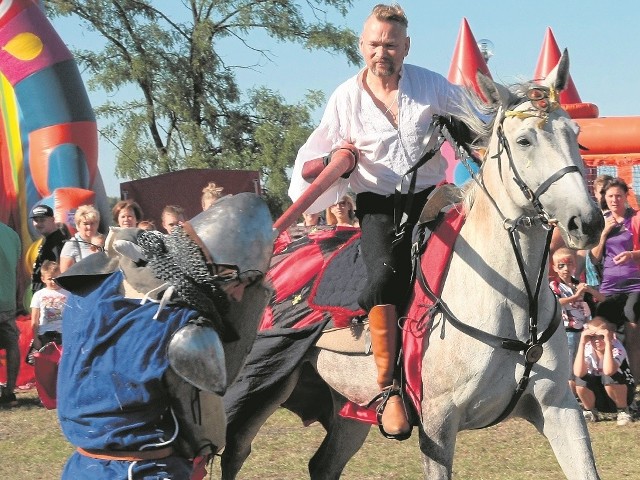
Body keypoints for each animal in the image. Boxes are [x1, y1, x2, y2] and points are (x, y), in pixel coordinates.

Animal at [221, 50, 604, 478]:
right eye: (524, 140)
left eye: (575, 133)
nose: (587, 222)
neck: (511, 297)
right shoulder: (438, 423)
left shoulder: (559, 409)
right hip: (262, 386)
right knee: (234, 451)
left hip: (348, 406)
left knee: (323, 464)